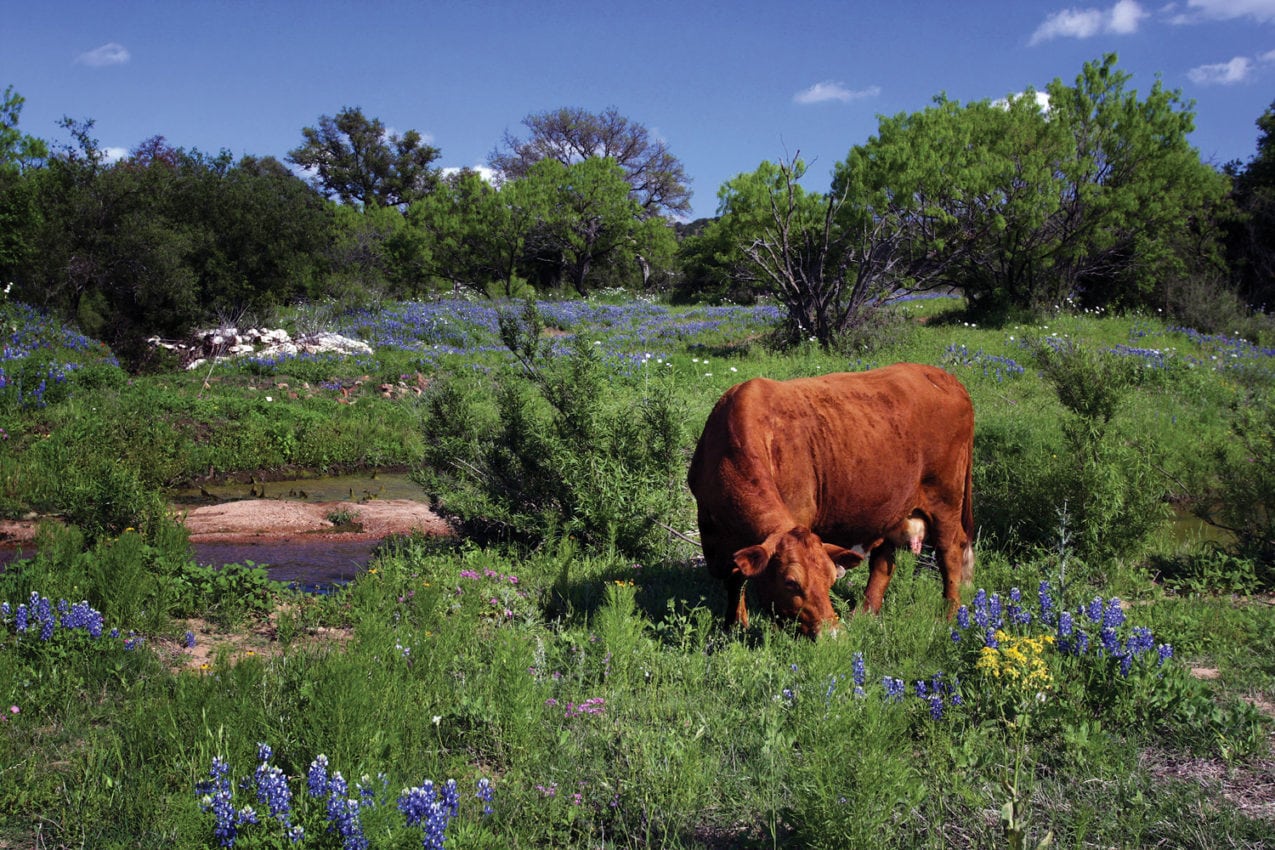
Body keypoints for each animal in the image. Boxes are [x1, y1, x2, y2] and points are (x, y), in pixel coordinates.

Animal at [688, 367, 974, 637]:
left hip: (945, 499)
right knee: (883, 562)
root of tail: (944, 377)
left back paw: (950, 616)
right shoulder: (713, 535)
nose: (832, 635)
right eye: (790, 582)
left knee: (950, 552)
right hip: (891, 509)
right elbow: (735, 580)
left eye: (830, 579)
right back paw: (865, 614)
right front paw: (734, 626)